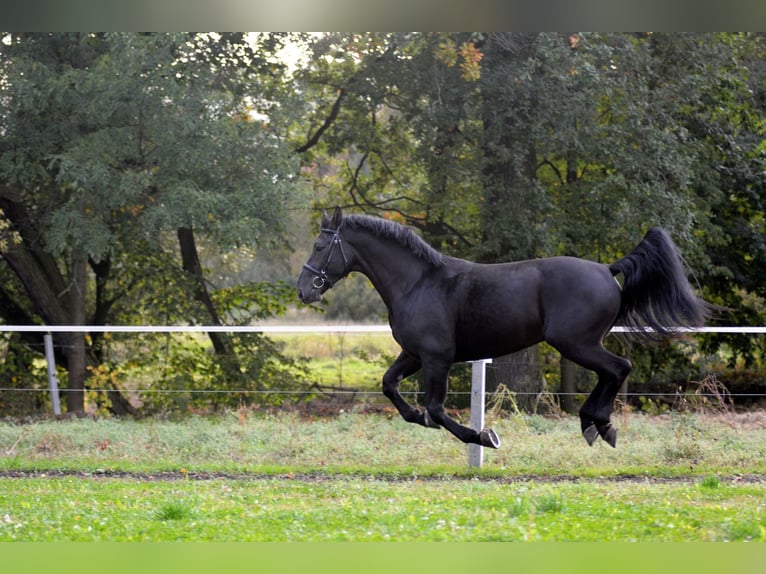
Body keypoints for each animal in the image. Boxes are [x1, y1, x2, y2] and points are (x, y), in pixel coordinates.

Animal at [296, 209, 712, 452]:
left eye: (319, 245)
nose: (304, 290)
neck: (418, 282)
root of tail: (608, 269)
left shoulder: (436, 357)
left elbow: (437, 408)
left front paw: (483, 436)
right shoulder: (414, 354)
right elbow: (390, 387)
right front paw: (420, 418)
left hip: (576, 343)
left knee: (618, 368)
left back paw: (599, 424)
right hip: (580, 344)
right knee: (612, 372)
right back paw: (593, 424)